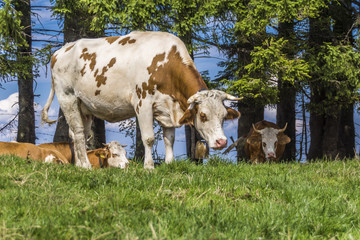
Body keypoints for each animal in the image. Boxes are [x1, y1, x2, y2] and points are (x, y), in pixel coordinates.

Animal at [43, 30, 242, 169]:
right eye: (203, 115)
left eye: (224, 116)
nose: (221, 142)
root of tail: (61, 51)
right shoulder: (143, 103)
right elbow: (149, 138)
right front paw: (149, 167)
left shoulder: (166, 108)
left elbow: (169, 138)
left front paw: (169, 164)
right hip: (67, 98)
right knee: (77, 133)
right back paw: (85, 165)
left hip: (84, 107)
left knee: (79, 134)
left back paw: (79, 165)